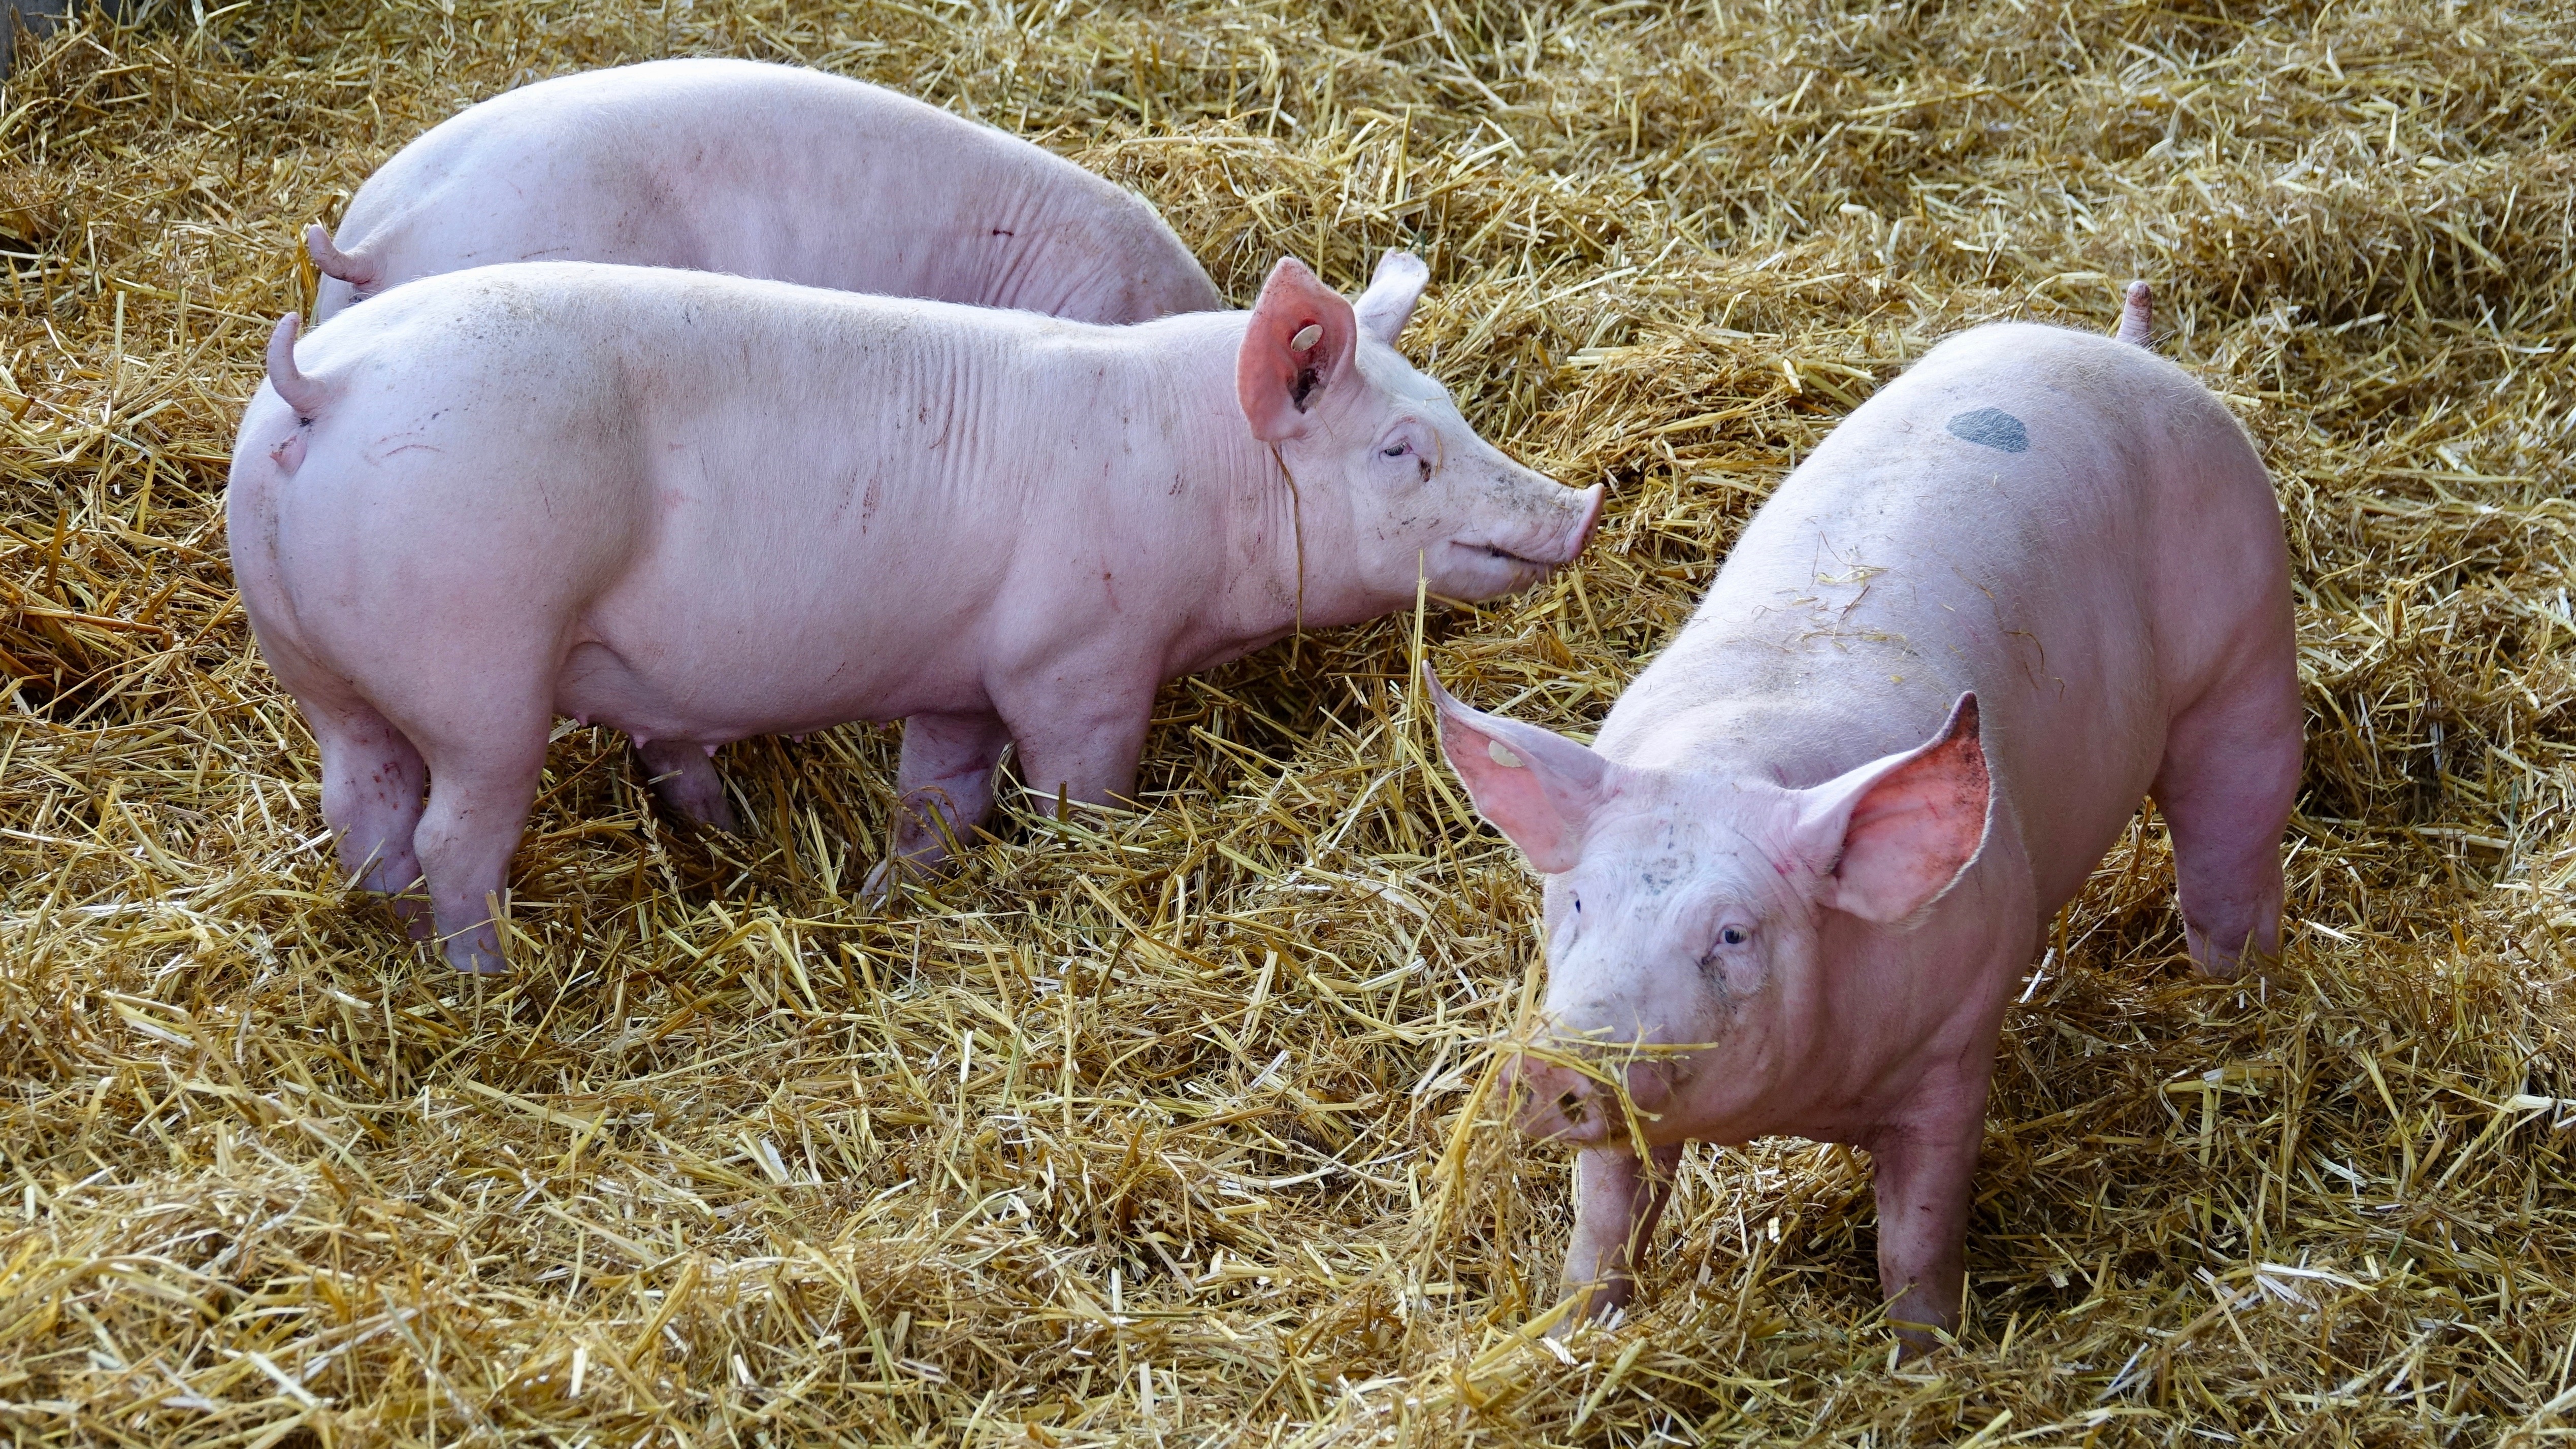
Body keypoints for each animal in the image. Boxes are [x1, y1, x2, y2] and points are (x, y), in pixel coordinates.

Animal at [237, 249, 1607, 973]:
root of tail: (327, 384)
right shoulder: (1081, 665)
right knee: (452, 833)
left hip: (322, 673)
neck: (1201, 469)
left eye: (1455, 411)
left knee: (362, 808)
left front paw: (892, 899)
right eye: (1401, 451)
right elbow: (1079, 795)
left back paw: (393, 934)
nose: (1580, 506)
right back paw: (488, 973)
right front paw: (1084, 863)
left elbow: (935, 798)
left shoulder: (962, 681)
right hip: (481, 663)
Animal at [1432, 304, 2298, 1348]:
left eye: (1733, 933)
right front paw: (1571, 1334)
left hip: (2249, 651)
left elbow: (1914, 1236)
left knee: (2233, 843)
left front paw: (1927, 1352)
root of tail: (2125, 348)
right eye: (1574, 904)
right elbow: (1605, 1223)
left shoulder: (1956, 1042)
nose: (1561, 1063)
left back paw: (2236, 995)